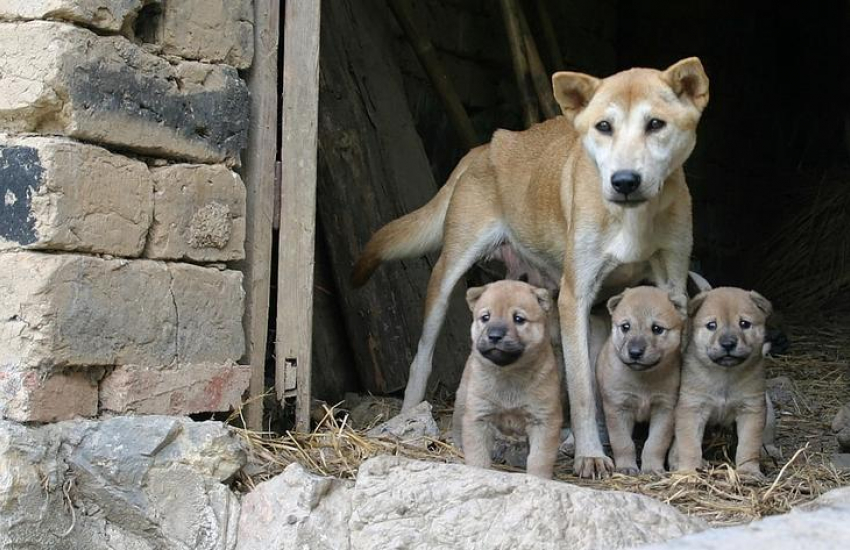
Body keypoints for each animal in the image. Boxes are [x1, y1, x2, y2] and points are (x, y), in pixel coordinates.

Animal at [450, 280, 564, 478]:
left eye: (518, 319)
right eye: (486, 317)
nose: (494, 335)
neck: (508, 373)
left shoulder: (544, 420)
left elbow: (539, 459)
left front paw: (538, 479)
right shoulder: (479, 417)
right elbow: (478, 455)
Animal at [592, 288, 684, 474]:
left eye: (657, 329)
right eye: (625, 326)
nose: (635, 352)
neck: (643, 378)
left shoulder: (665, 408)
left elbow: (656, 443)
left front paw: (652, 468)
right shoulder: (617, 407)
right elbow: (623, 442)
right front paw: (626, 467)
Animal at [672, 288, 772, 478]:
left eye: (744, 324)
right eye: (712, 325)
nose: (728, 344)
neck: (725, 376)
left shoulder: (751, 410)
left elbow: (748, 446)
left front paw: (748, 471)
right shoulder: (692, 408)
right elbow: (689, 445)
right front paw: (688, 472)